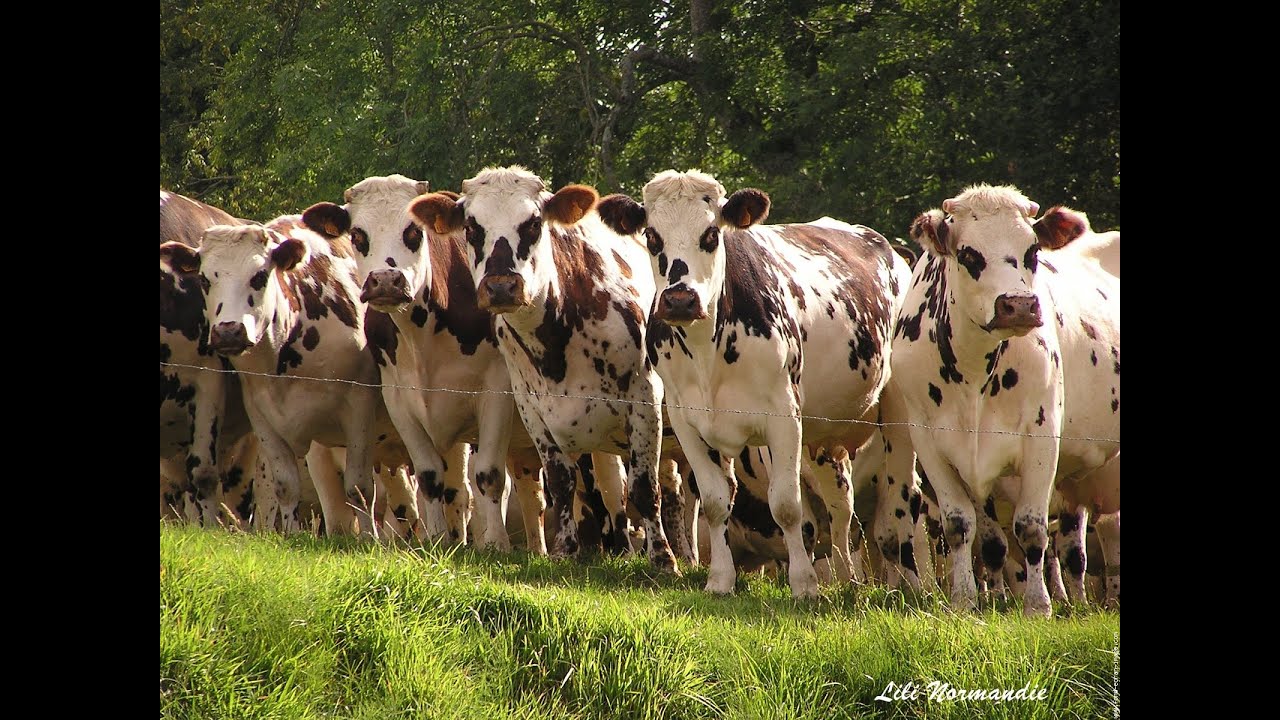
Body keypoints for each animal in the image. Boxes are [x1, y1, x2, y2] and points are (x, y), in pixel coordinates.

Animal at [154, 212, 417, 532]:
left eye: (259, 276)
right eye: (205, 279)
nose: (228, 331)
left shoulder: (359, 406)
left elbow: (359, 488)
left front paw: (369, 538)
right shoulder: (261, 416)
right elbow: (286, 487)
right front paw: (291, 534)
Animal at [302, 175, 547, 548]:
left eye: (413, 231)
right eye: (357, 234)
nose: (386, 281)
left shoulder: (496, 392)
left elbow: (489, 475)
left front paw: (496, 544)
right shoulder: (399, 399)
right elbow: (431, 478)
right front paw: (437, 539)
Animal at [409, 165, 680, 568]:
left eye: (534, 223)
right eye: (472, 226)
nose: (501, 287)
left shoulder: (645, 400)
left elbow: (645, 487)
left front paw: (664, 560)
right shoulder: (532, 409)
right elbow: (561, 482)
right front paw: (566, 550)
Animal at [593, 169, 916, 594]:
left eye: (711, 234)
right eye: (651, 236)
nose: (680, 300)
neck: (708, 352)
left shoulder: (784, 417)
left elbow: (787, 506)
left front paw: (804, 584)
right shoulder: (686, 419)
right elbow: (716, 503)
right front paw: (720, 580)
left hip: (896, 415)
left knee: (897, 504)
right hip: (823, 441)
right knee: (840, 509)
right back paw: (847, 579)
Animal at [890, 181, 1121, 614]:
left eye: (1032, 251)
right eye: (968, 254)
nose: (1018, 305)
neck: (972, 374)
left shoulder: (1042, 438)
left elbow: (1031, 528)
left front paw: (1038, 605)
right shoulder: (929, 443)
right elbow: (967, 529)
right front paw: (969, 599)